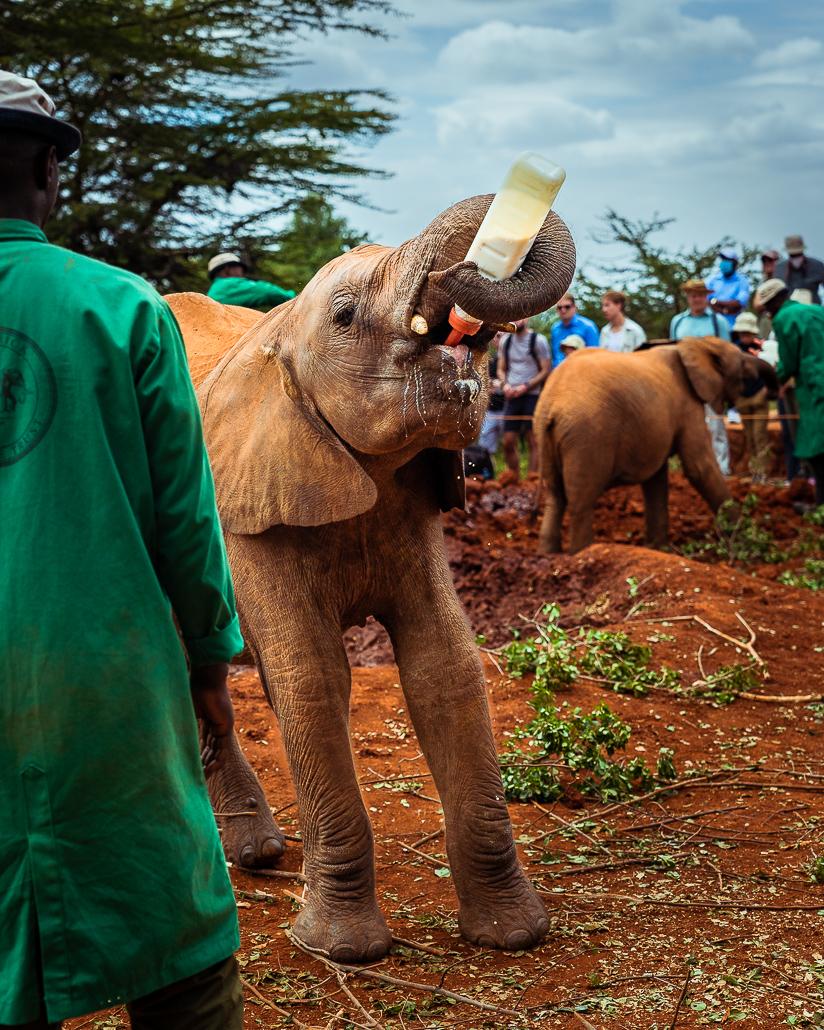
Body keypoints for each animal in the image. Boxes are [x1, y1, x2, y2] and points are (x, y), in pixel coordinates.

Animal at [167, 192, 576, 962]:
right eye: (346, 315)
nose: (467, 295)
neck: (276, 332)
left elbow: (446, 665)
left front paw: (513, 935)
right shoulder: (248, 510)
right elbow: (311, 677)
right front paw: (343, 951)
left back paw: (257, 853)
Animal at [533, 336, 778, 554]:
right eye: (743, 364)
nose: (772, 391)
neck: (692, 343)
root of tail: (552, 404)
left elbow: (656, 479)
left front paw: (659, 549)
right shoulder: (687, 406)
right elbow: (699, 468)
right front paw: (749, 542)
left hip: (547, 435)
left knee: (555, 496)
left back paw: (549, 555)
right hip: (587, 436)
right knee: (580, 501)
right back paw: (582, 554)